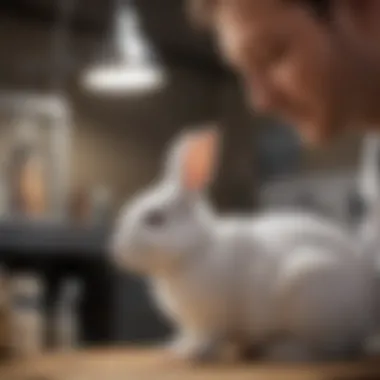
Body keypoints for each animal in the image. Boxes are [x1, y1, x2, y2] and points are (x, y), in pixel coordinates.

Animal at [111, 127, 378, 362]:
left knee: (329, 349)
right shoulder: (191, 323)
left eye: (155, 219)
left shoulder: (209, 319)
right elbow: (188, 334)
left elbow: (207, 338)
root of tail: (365, 316)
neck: (195, 251)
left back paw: (281, 352)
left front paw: (193, 354)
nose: (117, 252)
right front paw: (176, 348)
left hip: (310, 292)